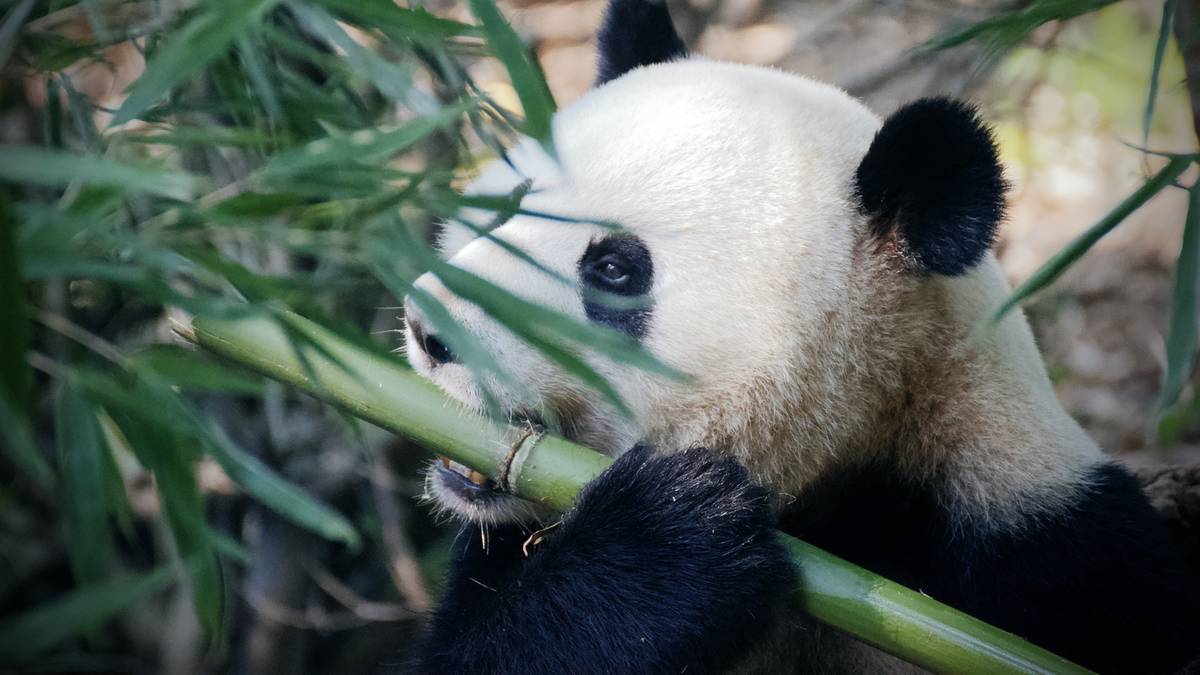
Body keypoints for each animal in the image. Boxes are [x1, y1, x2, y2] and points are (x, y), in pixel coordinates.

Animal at [398, 1, 1200, 667]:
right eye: (507, 204)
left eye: (615, 270)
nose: (430, 329)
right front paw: (670, 540)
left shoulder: (1050, 557)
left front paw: (674, 532)